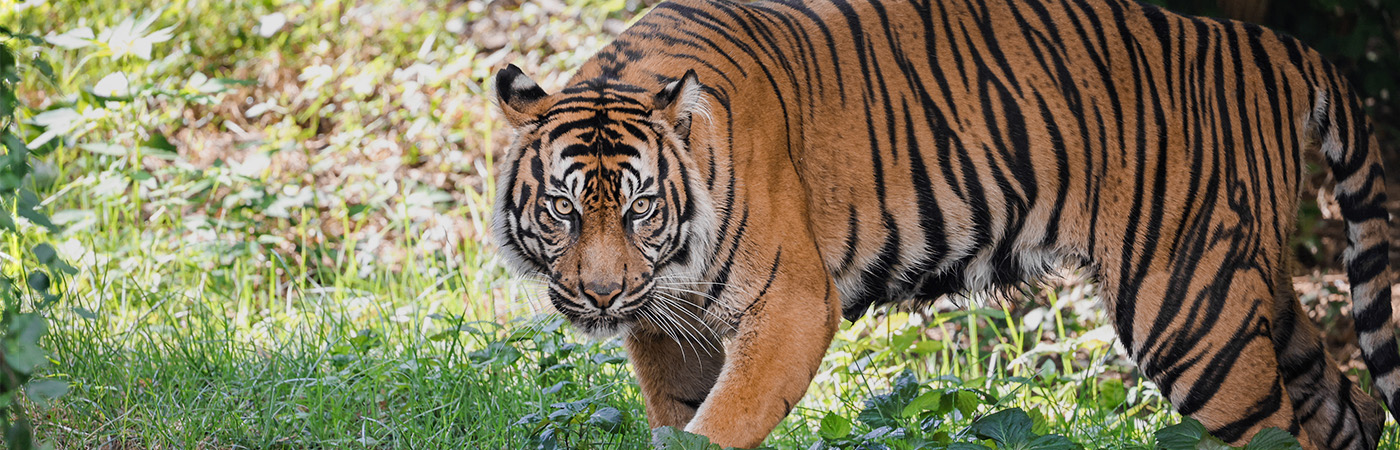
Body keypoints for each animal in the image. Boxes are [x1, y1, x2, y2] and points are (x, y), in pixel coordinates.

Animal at [488, 0, 1399, 447]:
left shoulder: (789, 308)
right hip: (1251, 289)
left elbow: (723, 424)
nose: (603, 297)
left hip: (1190, 309)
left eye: (641, 207)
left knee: (1281, 430)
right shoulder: (670, 329)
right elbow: (680, 421)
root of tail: (1269, 45)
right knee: (1349, 407)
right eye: (563, 209)